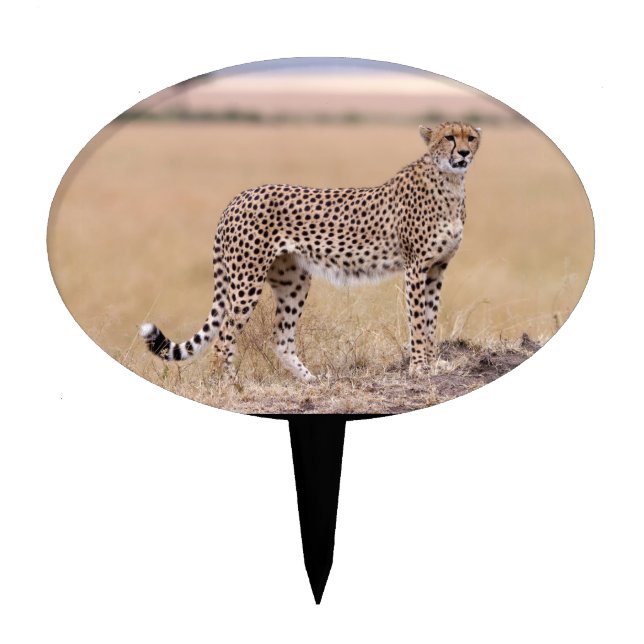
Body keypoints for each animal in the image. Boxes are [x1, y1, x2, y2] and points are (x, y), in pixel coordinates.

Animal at [140, 121, 481, 381]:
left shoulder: (437, 269)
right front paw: (420, 368)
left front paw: (434, 363)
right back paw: (226, 383)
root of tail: (238, 197)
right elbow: (418, 321)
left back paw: (310, 380)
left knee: (281, 339)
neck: (450, 183)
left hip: (293, 280)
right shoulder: (415, 268)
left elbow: (431, 318)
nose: (464, 153)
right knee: (224, 335)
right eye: (449, 137)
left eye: (471, 137)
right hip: (246, 280)